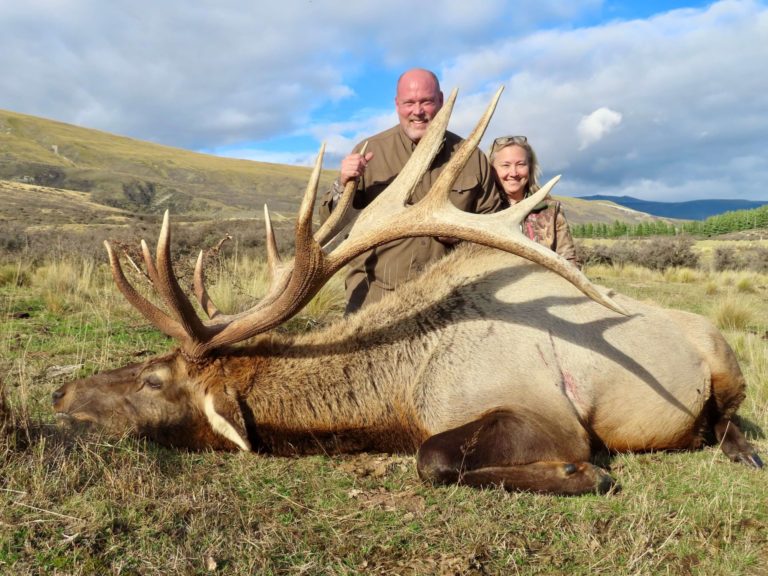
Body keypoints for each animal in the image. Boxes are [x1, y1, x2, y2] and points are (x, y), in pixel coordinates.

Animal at [52, 89, 763, 495]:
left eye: (154, 379)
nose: (61, 393)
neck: (398, 393)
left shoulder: (549, 415)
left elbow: (434, 458)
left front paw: (580, 472)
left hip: (724, 360)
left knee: (729, 418)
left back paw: (738, 449)